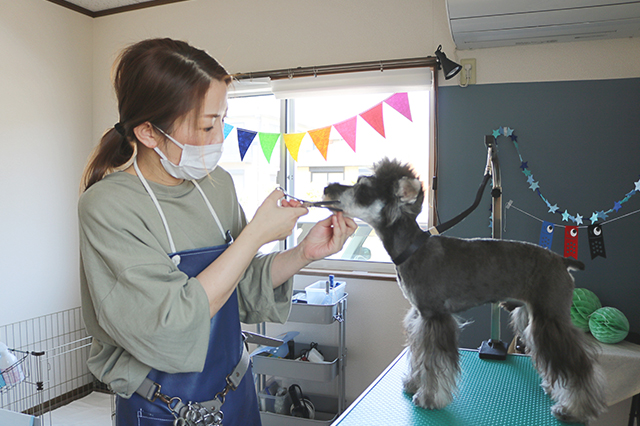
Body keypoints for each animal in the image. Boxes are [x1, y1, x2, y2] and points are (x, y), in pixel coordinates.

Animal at [322, 159, 608, 422]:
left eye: (363, 188)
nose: (327, 187)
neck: (412, 248)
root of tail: (562, 261)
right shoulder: (419, 317)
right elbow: (418, 355)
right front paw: (414, 382)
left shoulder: (435, 318)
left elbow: (433, 362)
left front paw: (429, 397)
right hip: (532, 317)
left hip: (550, 318)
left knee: (579, 366)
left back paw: (573, 408)